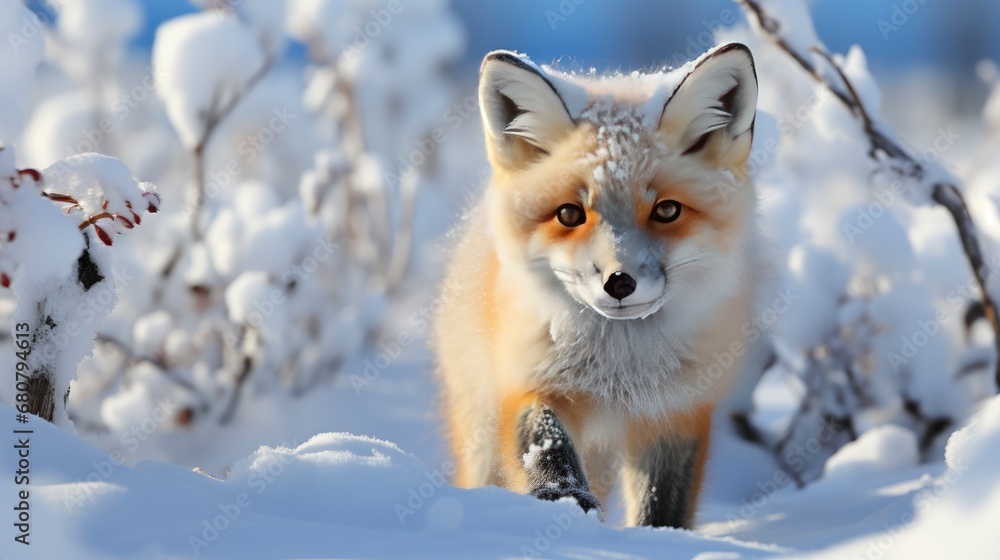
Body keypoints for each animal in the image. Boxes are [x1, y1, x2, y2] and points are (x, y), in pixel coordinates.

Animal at [433, 43, 761, 528]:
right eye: (569, 214)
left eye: (667, 210)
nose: (619, 282)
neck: (617, 371)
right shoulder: (528, 376)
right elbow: (546, 440)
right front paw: (564, 499)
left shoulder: (677, 407)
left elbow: (661, 502)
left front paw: (659, 537)